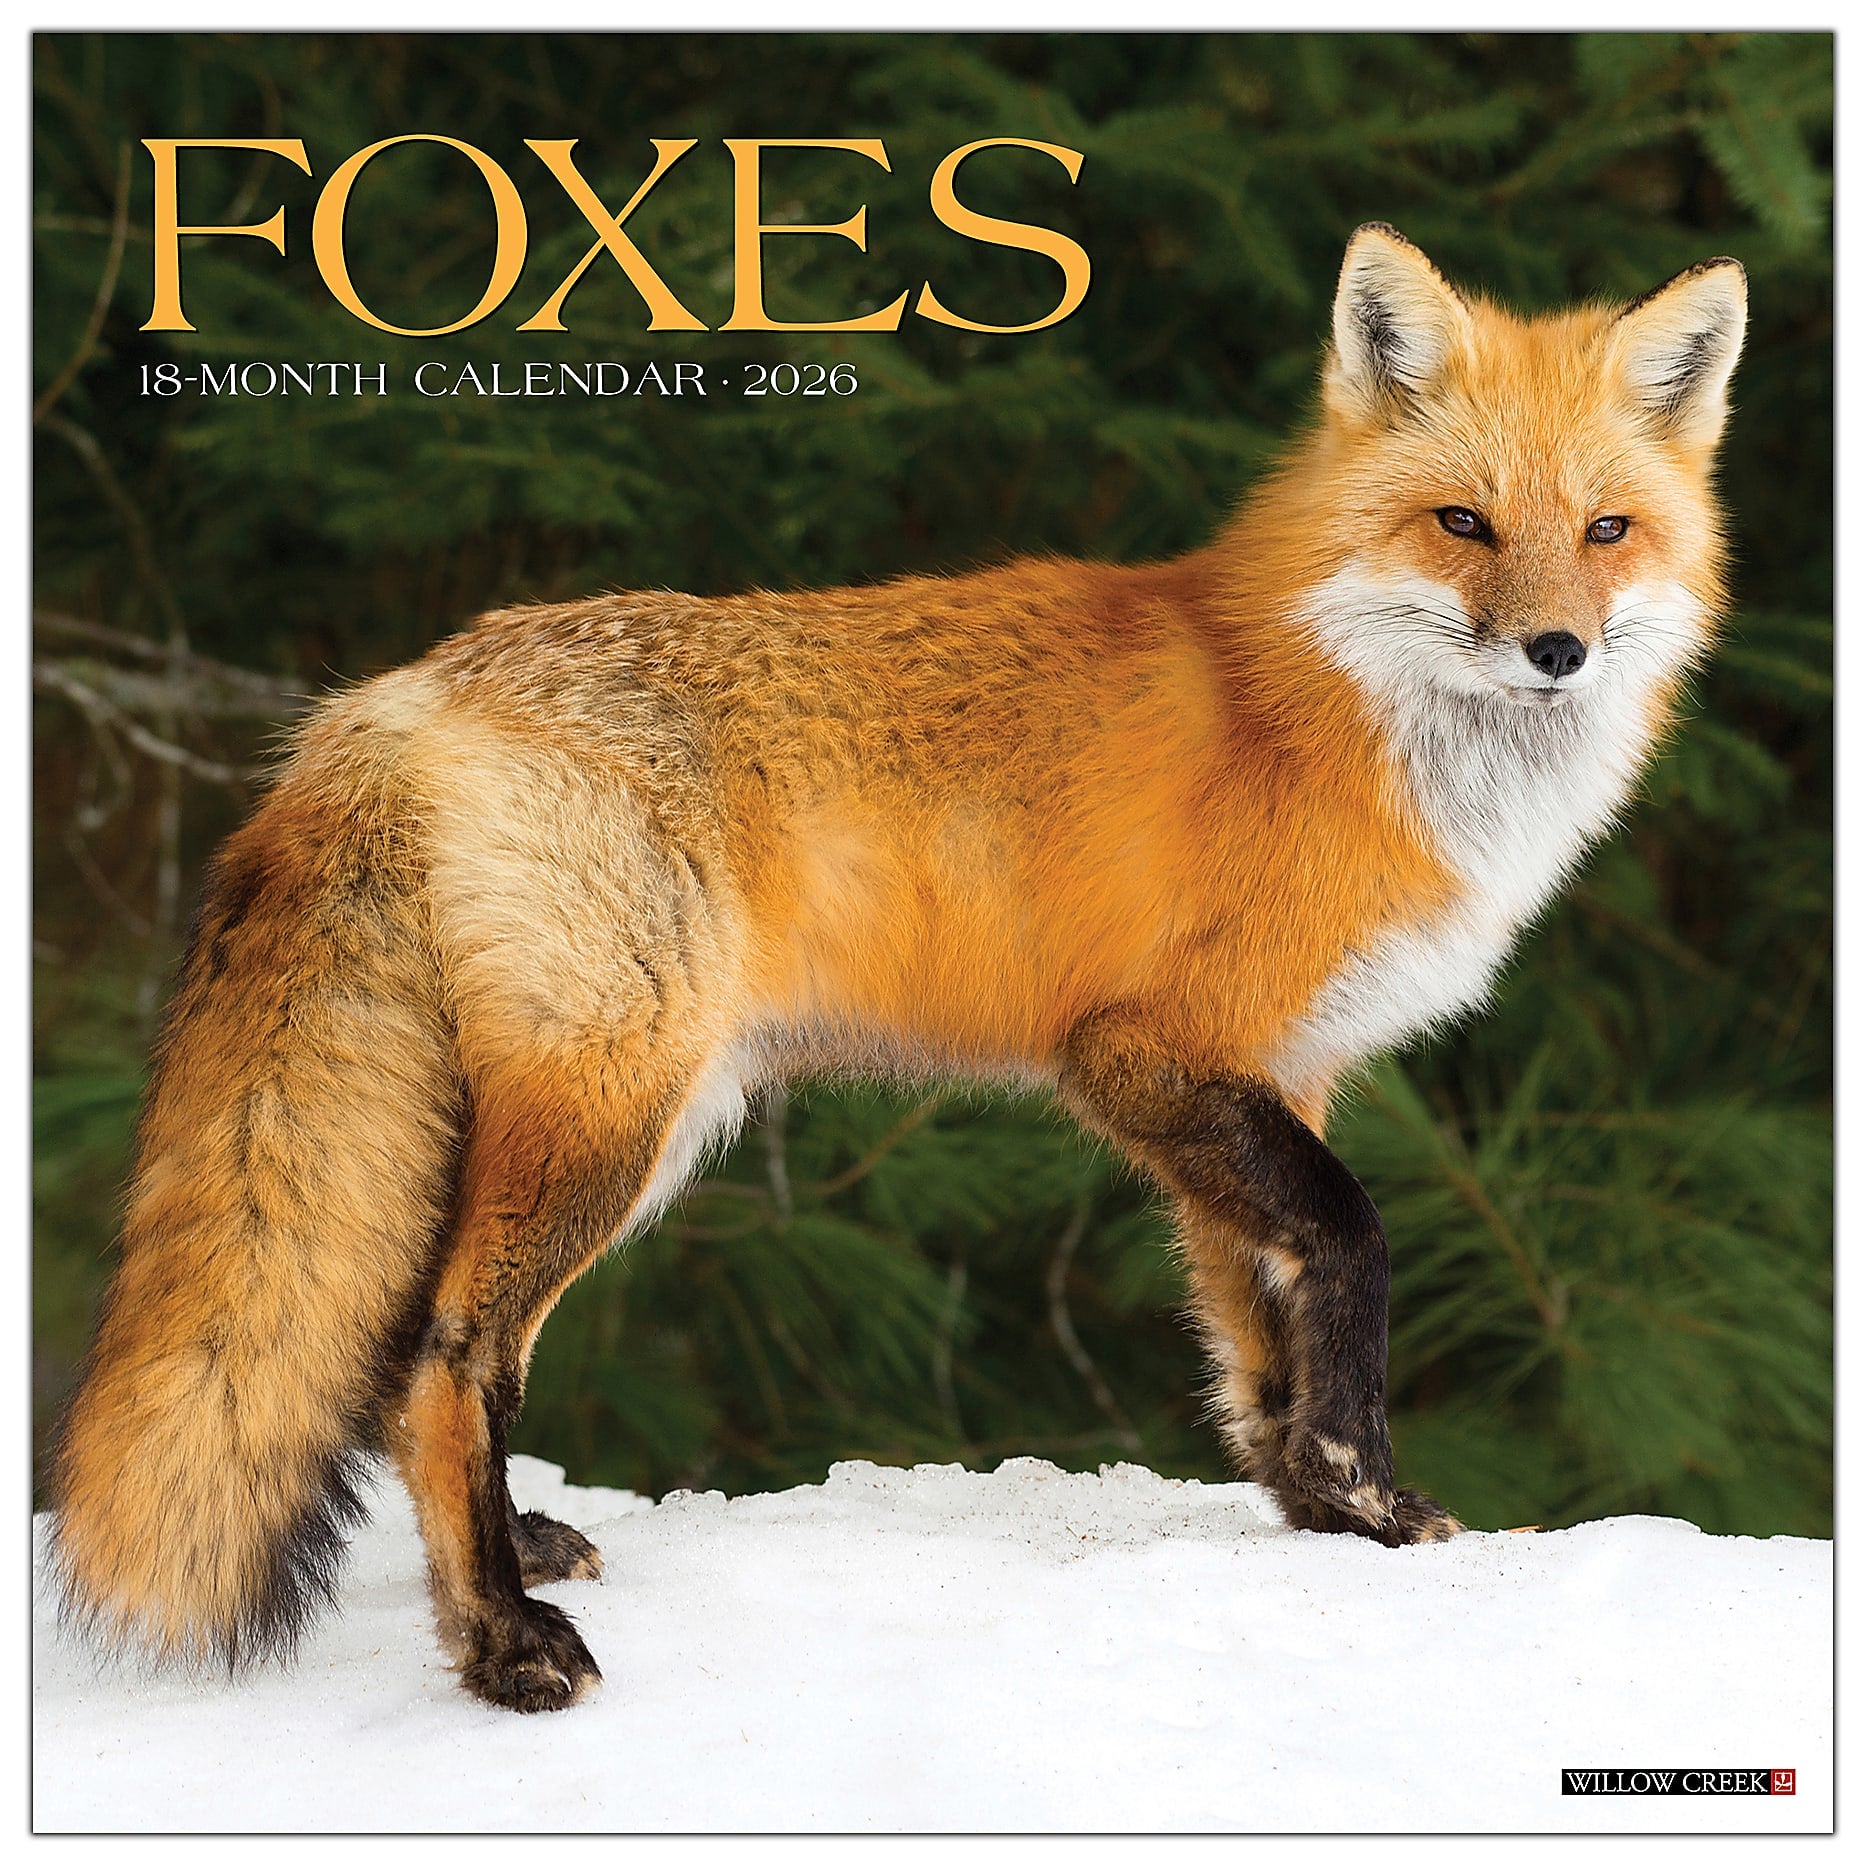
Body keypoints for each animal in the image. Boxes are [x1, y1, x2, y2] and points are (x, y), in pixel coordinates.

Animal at [49, 224, 1747, 1713]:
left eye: (1605, 533)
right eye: (1462, 524)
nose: (1554, 651)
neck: (1339, 713)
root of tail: (386, 695)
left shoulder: (1266, 1078)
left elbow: (1255, 1338)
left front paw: (1316, 1509)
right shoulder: (1144, 1051)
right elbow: (1349, 1244)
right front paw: (1372, 1492)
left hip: (609, 1121)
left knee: (428, 1358)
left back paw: (504, 1560)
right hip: (611, 1115)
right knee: (442, 1358)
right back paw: (502, 1644)